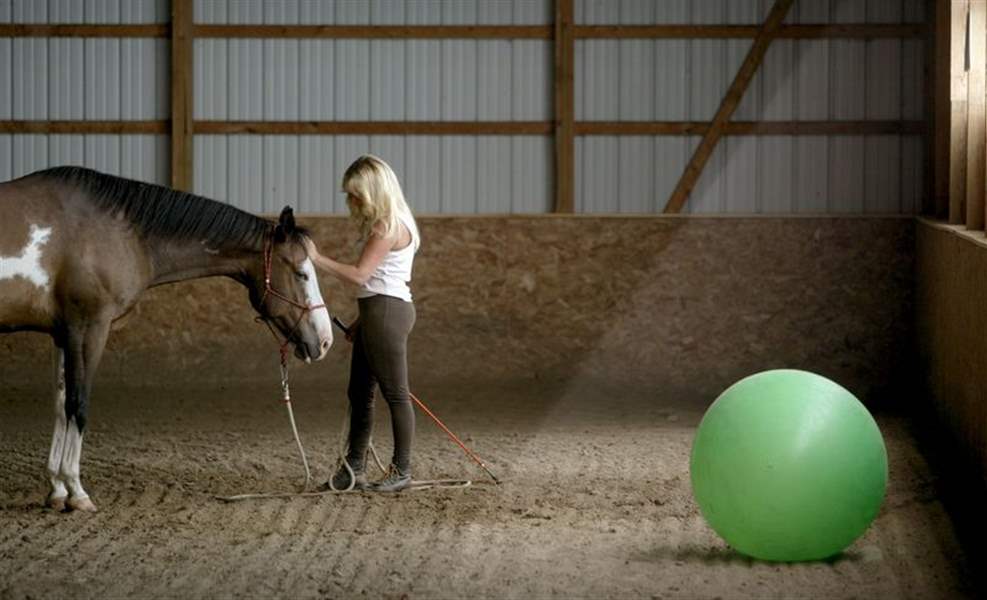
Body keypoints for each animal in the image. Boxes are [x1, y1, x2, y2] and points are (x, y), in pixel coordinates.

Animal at [0, 166, 334, 512]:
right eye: (301, 273)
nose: (325, 340)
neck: (118, 230)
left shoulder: (63, 332)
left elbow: (60, 403)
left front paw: (56, 489)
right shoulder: (88, 328)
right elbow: (78, 404)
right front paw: (76, 492)